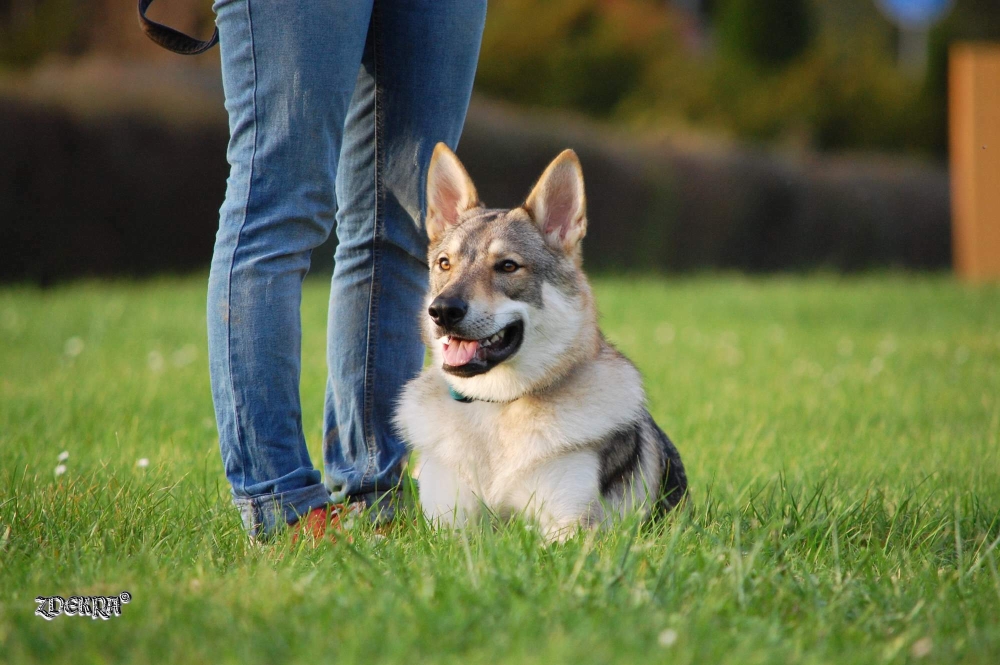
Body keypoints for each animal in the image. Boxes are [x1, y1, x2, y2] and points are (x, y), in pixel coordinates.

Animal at [394, 145, 684, 540]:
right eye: (444, 264)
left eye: (507, 266)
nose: (442, 311)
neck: (497, 406)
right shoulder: (444, 527)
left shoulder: (570, 528)